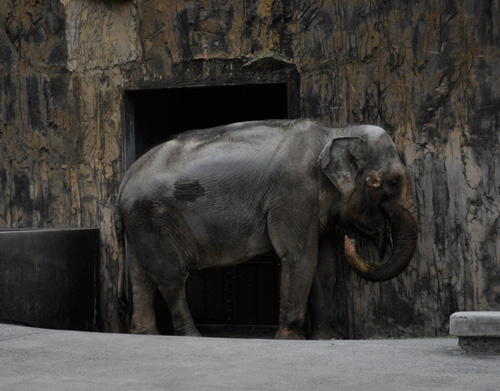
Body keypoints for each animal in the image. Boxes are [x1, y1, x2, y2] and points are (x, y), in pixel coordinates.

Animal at [116, 119, 418, 340]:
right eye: (392, 182)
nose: (354, 240)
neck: (337, 131)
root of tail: (124, 179)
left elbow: (325, 266)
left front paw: (326, 338)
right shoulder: (294, 191)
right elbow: (299, 256)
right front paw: (291, 338)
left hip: (140, 225)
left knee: (140, 276)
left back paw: (145, 334)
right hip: (155, 220)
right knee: (172, 279)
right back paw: (193, 336)